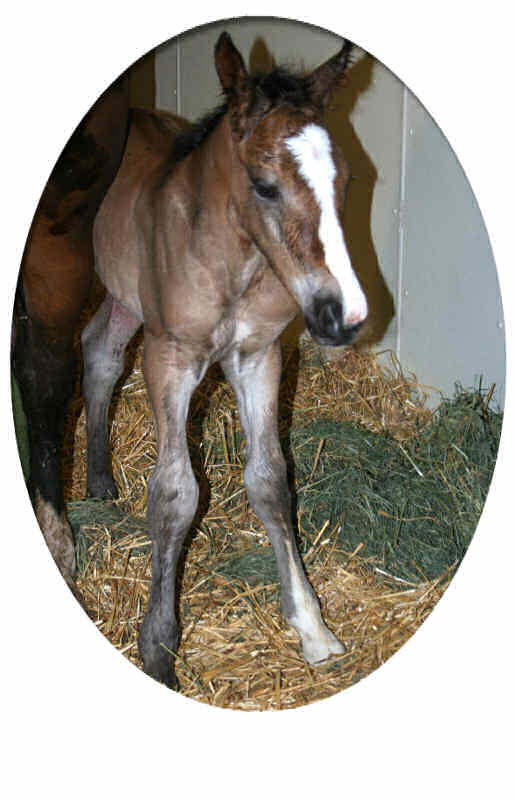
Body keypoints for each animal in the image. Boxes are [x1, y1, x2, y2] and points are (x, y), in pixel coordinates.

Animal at [83, 31, 368, 688]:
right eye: (264, 185)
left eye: (344, 181)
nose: (344, 316)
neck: (232, 261)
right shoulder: (170, 357)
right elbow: (175, 495)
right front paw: (159, 649)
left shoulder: (258, 356)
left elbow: (270, 479)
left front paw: (313, 628)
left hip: (126, 296)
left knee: (100, 352)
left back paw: (101, 479)